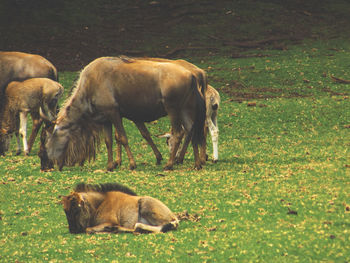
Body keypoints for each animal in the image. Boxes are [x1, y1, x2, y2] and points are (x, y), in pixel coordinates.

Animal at [45, 56, 206, 171]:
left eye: (51, 137)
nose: (51, 162)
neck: (90, 86)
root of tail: (192, 75)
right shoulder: (106, 119)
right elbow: (109, 141)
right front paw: (110, 165)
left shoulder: (114, 113)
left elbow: (122, 138)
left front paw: (131, 164)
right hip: (186, 110)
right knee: (192, 131)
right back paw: (197, 163)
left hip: (172, 109)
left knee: (179, 134)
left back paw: (170, 164)